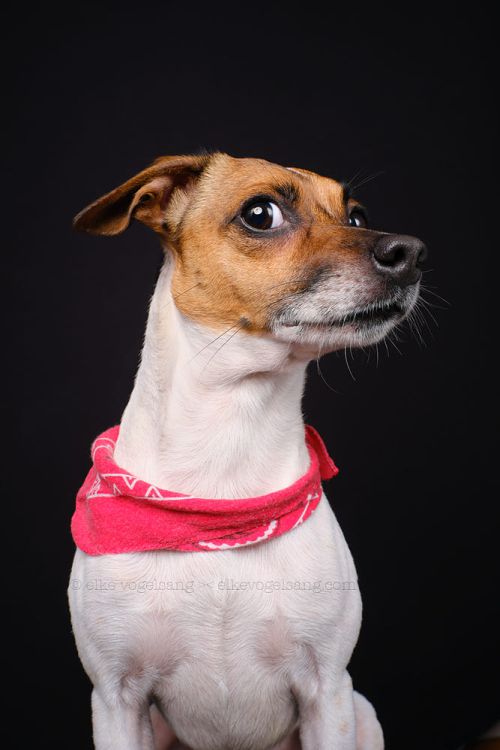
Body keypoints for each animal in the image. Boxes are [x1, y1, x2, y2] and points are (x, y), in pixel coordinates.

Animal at [67, 150, 426, 748]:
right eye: (261, 214)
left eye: (355, 215)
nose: (412, 254)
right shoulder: (117, 698)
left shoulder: (328, 690)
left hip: (362, 711)